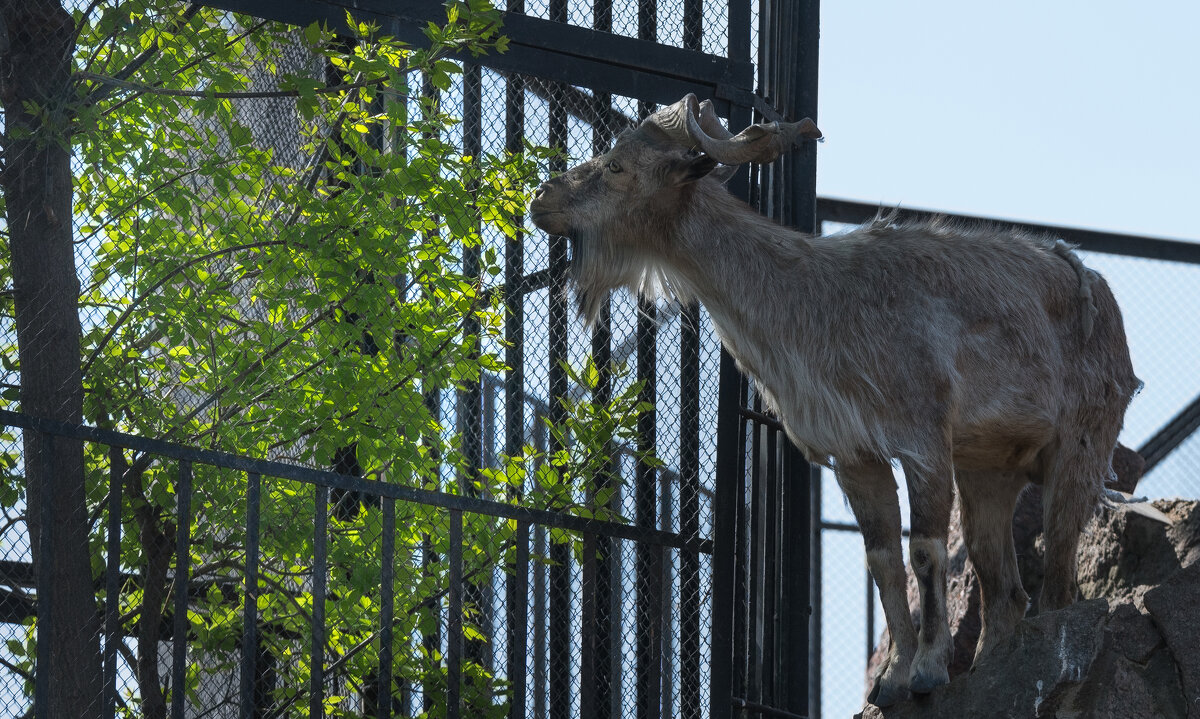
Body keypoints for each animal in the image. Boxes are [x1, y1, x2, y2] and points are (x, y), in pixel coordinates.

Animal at [530, 93, 1137, 705]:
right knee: (1004, 589)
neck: (817, 298)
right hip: (988, 470)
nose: (543, 198)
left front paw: (927, 671)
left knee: (1058, 582)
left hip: (1079, 451)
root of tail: (1106, 303)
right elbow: (883, 560)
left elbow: (925, 551)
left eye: (616, 166)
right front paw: (892, 681)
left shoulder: (923, 441)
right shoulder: (855, 456)